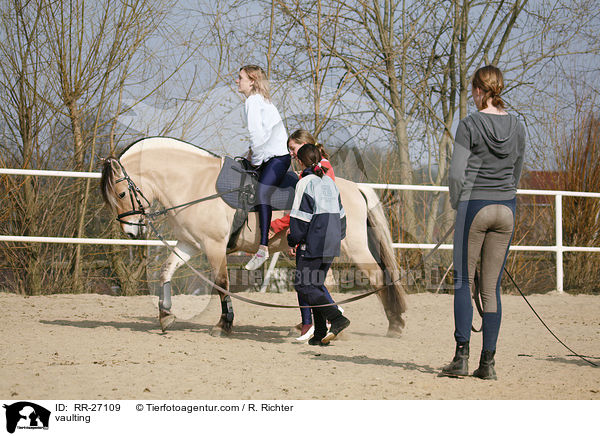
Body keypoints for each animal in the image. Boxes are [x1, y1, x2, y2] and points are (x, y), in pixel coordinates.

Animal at [102, 138, 408, 336]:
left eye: (121, 193)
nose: (130, 231)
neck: (195, 184)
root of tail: (354, 188)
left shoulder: (214, 247)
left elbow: (221, 284)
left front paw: (224, 325)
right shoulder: (189, 244)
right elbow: (166, 271)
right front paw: (166, 317)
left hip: (354, 248)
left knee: (378, 277)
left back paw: (394, 325)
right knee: (325, 282)